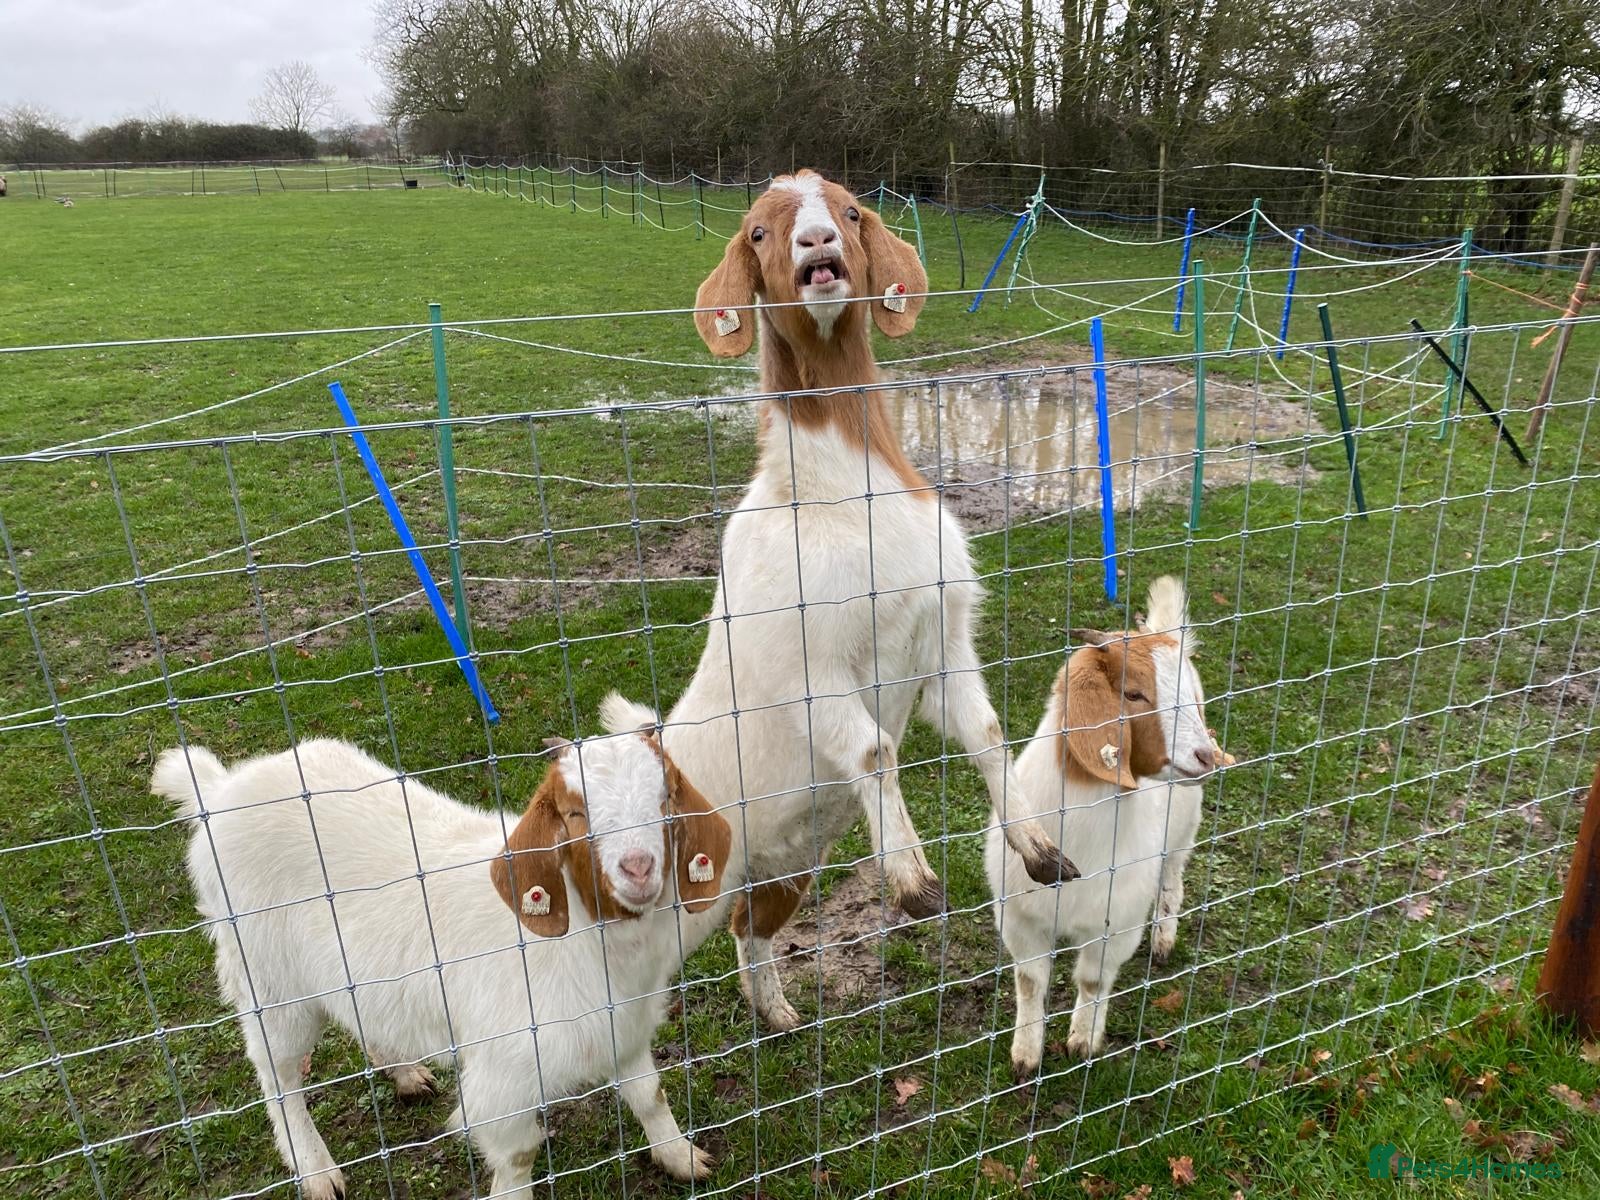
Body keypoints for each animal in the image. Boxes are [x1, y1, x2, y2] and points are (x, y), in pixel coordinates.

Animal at [154, 731, 730, 1200]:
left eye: (665, 798)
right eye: (573, 813)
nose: (638, 867)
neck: (592, 939)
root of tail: (220, 790)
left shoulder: (622, 1026)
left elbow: (649, 1095)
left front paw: (682, 1157)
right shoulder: (506, 1075)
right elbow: (519, 1155)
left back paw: (404, 1072)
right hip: (267, 978)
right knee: (277, 1073)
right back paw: (315, 1169)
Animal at [599, 169, 1074, 1033]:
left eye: (851, 210)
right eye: (756, 230)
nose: (815, 243)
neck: (842, 490)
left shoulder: (940, 644)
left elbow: (987, 734)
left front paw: (1036, 845)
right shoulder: (809, 667)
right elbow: (876, 752)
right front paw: (914, 880)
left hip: (781, 868)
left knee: (751, 927)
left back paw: (777, 1012)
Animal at [985, 577, 1231, 1073]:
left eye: (1192, 701)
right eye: (1133, 694)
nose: (1205, 756)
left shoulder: (1116, 924)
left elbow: (1094, 982)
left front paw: (1083, 1041)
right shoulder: (1020, 917)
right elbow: (1030, 982)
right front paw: (1025, 1056)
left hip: (1182, 832)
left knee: (1173, 880)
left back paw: (1164, 940)